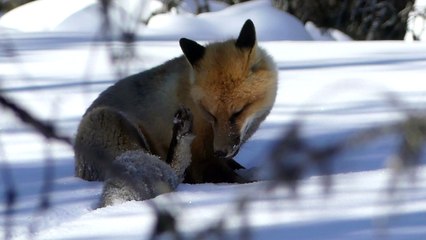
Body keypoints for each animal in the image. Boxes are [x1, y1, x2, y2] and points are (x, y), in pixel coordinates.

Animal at [74, 19, 278, 205]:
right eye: (210, 114)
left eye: (238, 112)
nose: (220, 151)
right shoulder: (202, 161)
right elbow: (237, 179)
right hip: (111, 122)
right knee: (171, 172)